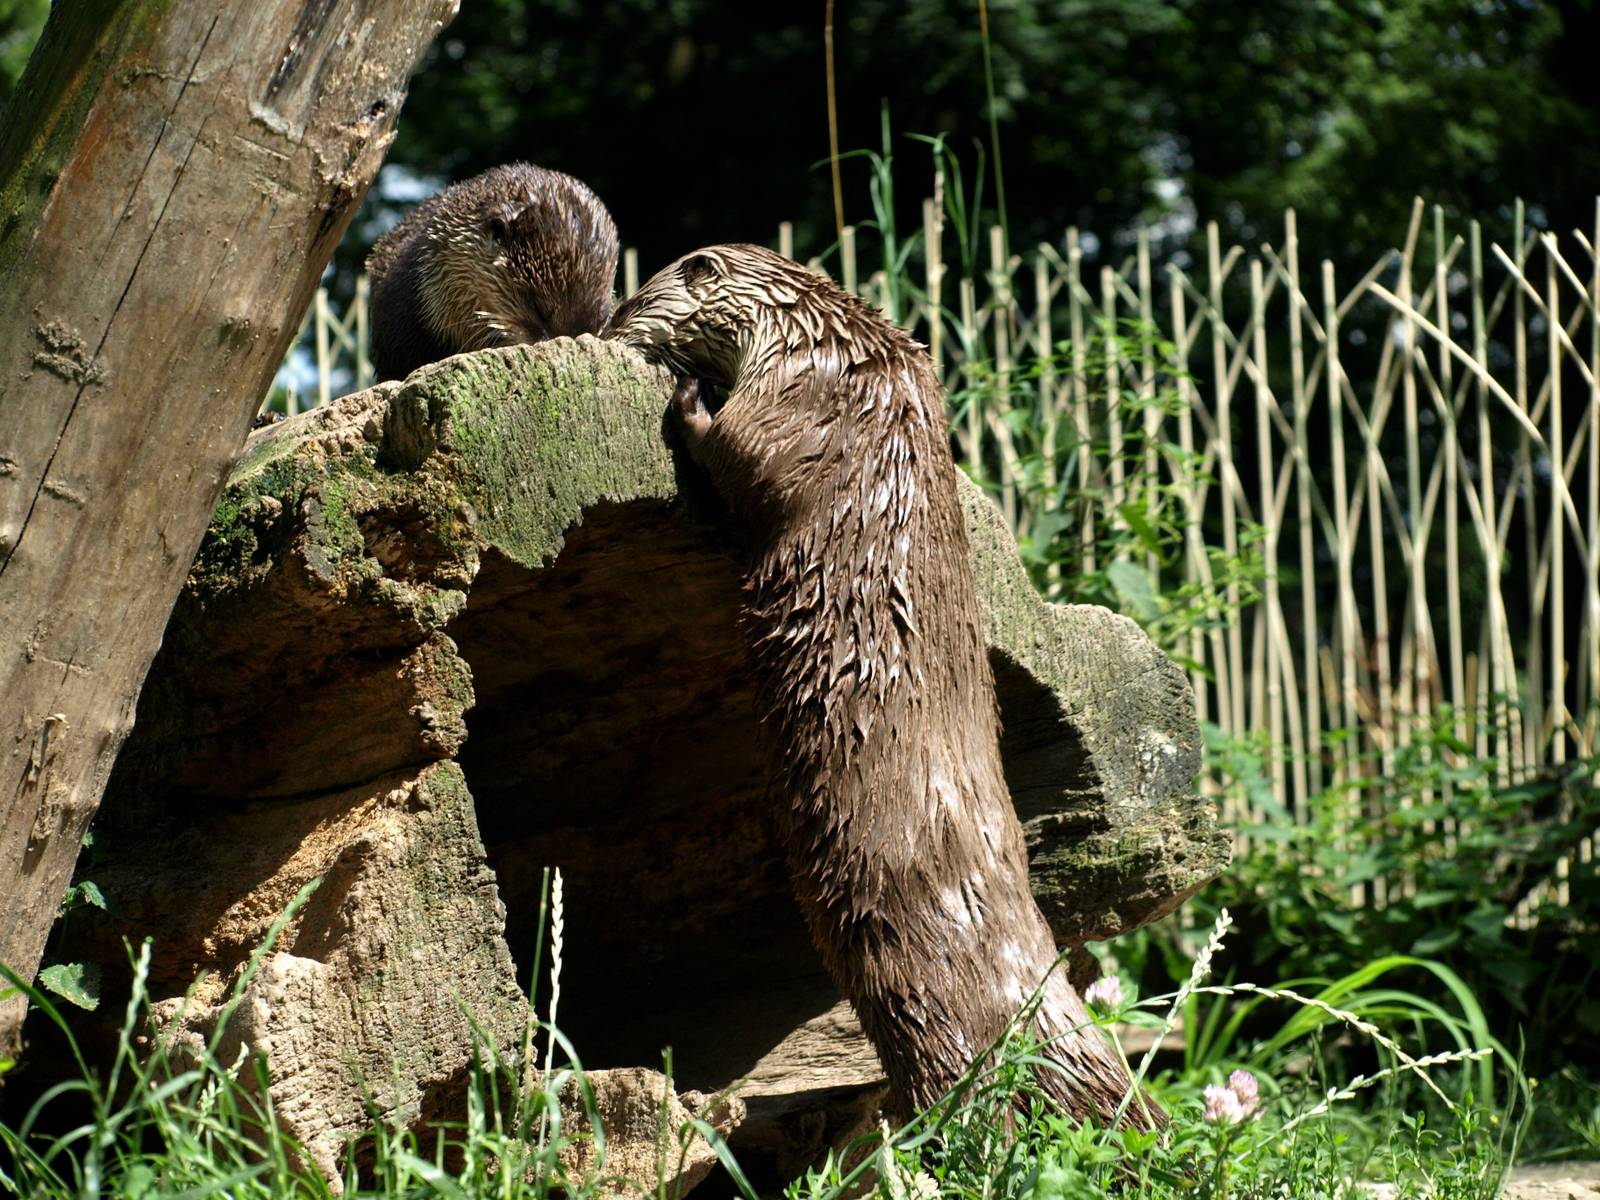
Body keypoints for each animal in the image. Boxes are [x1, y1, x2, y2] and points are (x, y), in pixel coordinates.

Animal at [604, 245, 1161, 1127]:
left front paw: (688, 397)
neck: (830, 346)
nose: (604, 327)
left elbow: (739, 455)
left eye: (632, 303)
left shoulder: (795, 397)